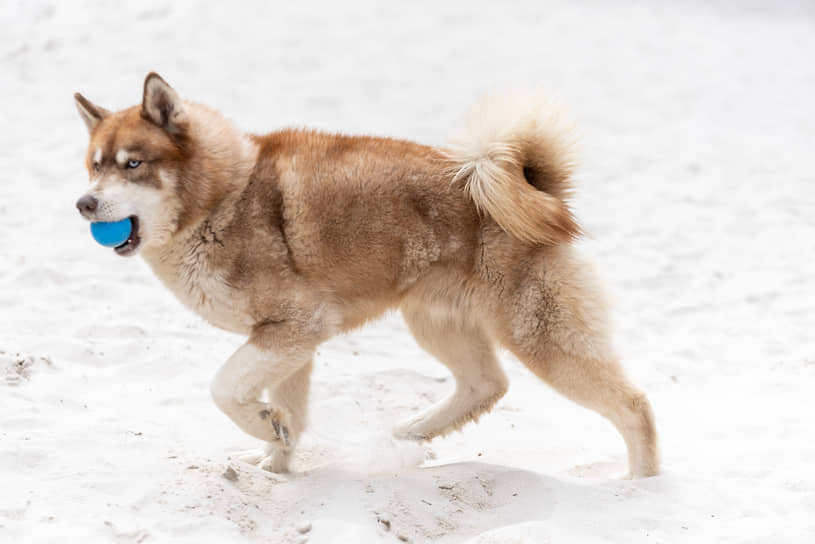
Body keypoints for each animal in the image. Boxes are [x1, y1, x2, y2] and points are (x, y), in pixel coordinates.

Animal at [75, 72, 664, 476]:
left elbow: (224, 389)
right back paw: (413, 432)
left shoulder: (295, 326)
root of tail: (537, 189)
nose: (84, 204)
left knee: (634, 407)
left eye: (133, 165)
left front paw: (265, 429)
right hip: (436, 322)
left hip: (539, 337)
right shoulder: (290, 341)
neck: (222, 200)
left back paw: (638, 490)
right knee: (486, 386)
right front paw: (274, 462)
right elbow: (289, 415)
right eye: (94, 166)